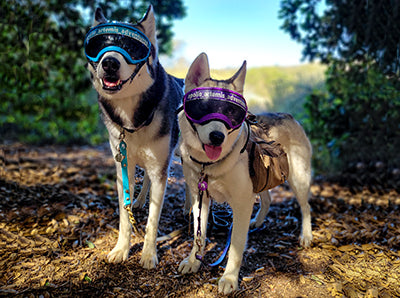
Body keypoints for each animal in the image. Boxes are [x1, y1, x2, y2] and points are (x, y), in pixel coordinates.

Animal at [86, 6, 184, 268]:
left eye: (131, 47)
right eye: (99, 45)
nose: (109, 62)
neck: (133, 118)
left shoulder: (161, 168)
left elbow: (153, 220)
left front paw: (149, 254)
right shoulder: (124, 167)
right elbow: (124, 215)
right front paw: (122, 249)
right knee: (147, 179)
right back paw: (140, 200)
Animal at [178, 53, 312, 294]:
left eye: (232, 113)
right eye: (203, 107)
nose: (217, 137)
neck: (208, 165)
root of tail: (288, 115)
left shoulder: (241, 203)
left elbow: (236, 247)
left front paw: (229, 278)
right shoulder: (200, 198)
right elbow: (198, 235)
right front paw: (193, 260)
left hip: (298, 179)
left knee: (306, 207)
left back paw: (306, 235)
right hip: (262, 180)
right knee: (267, 200)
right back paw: (257, 222)